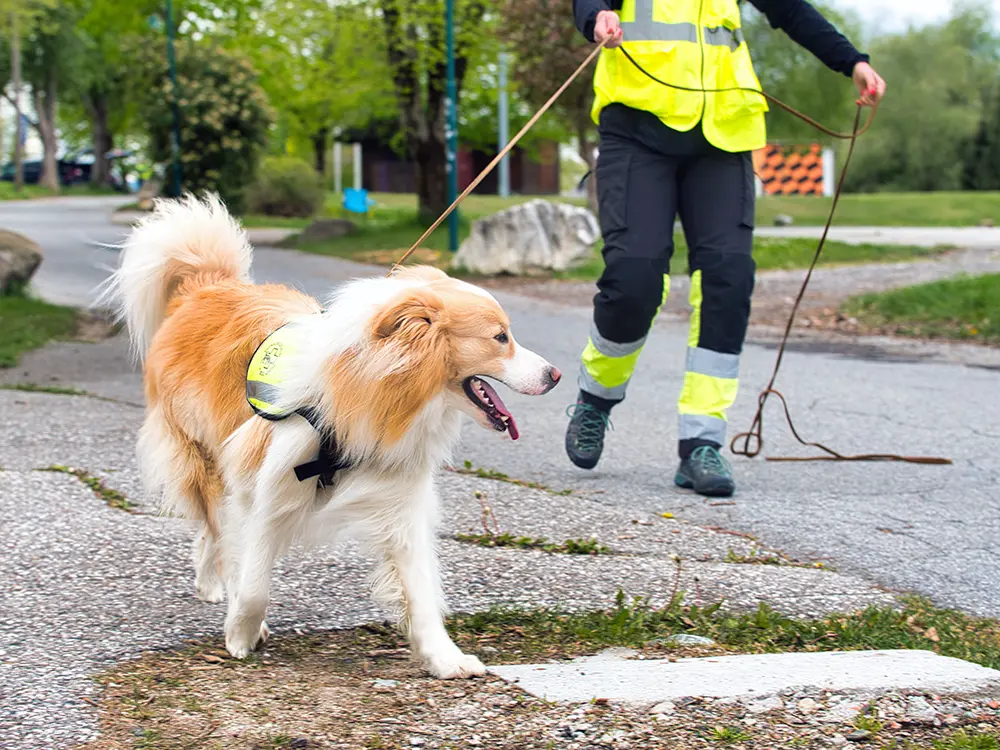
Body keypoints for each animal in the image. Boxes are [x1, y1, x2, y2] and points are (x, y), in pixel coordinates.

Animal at [101, 194, 564, 680]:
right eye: (500, 337)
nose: (556, 375)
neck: (372, 388)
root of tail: (205, 286)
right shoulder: (266, 488)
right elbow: (253, 581)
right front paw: (242, 633)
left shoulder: (399, 501)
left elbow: (420, 591)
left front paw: (444, 657)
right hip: (202, 458)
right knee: (215, 527)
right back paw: (217, 584)